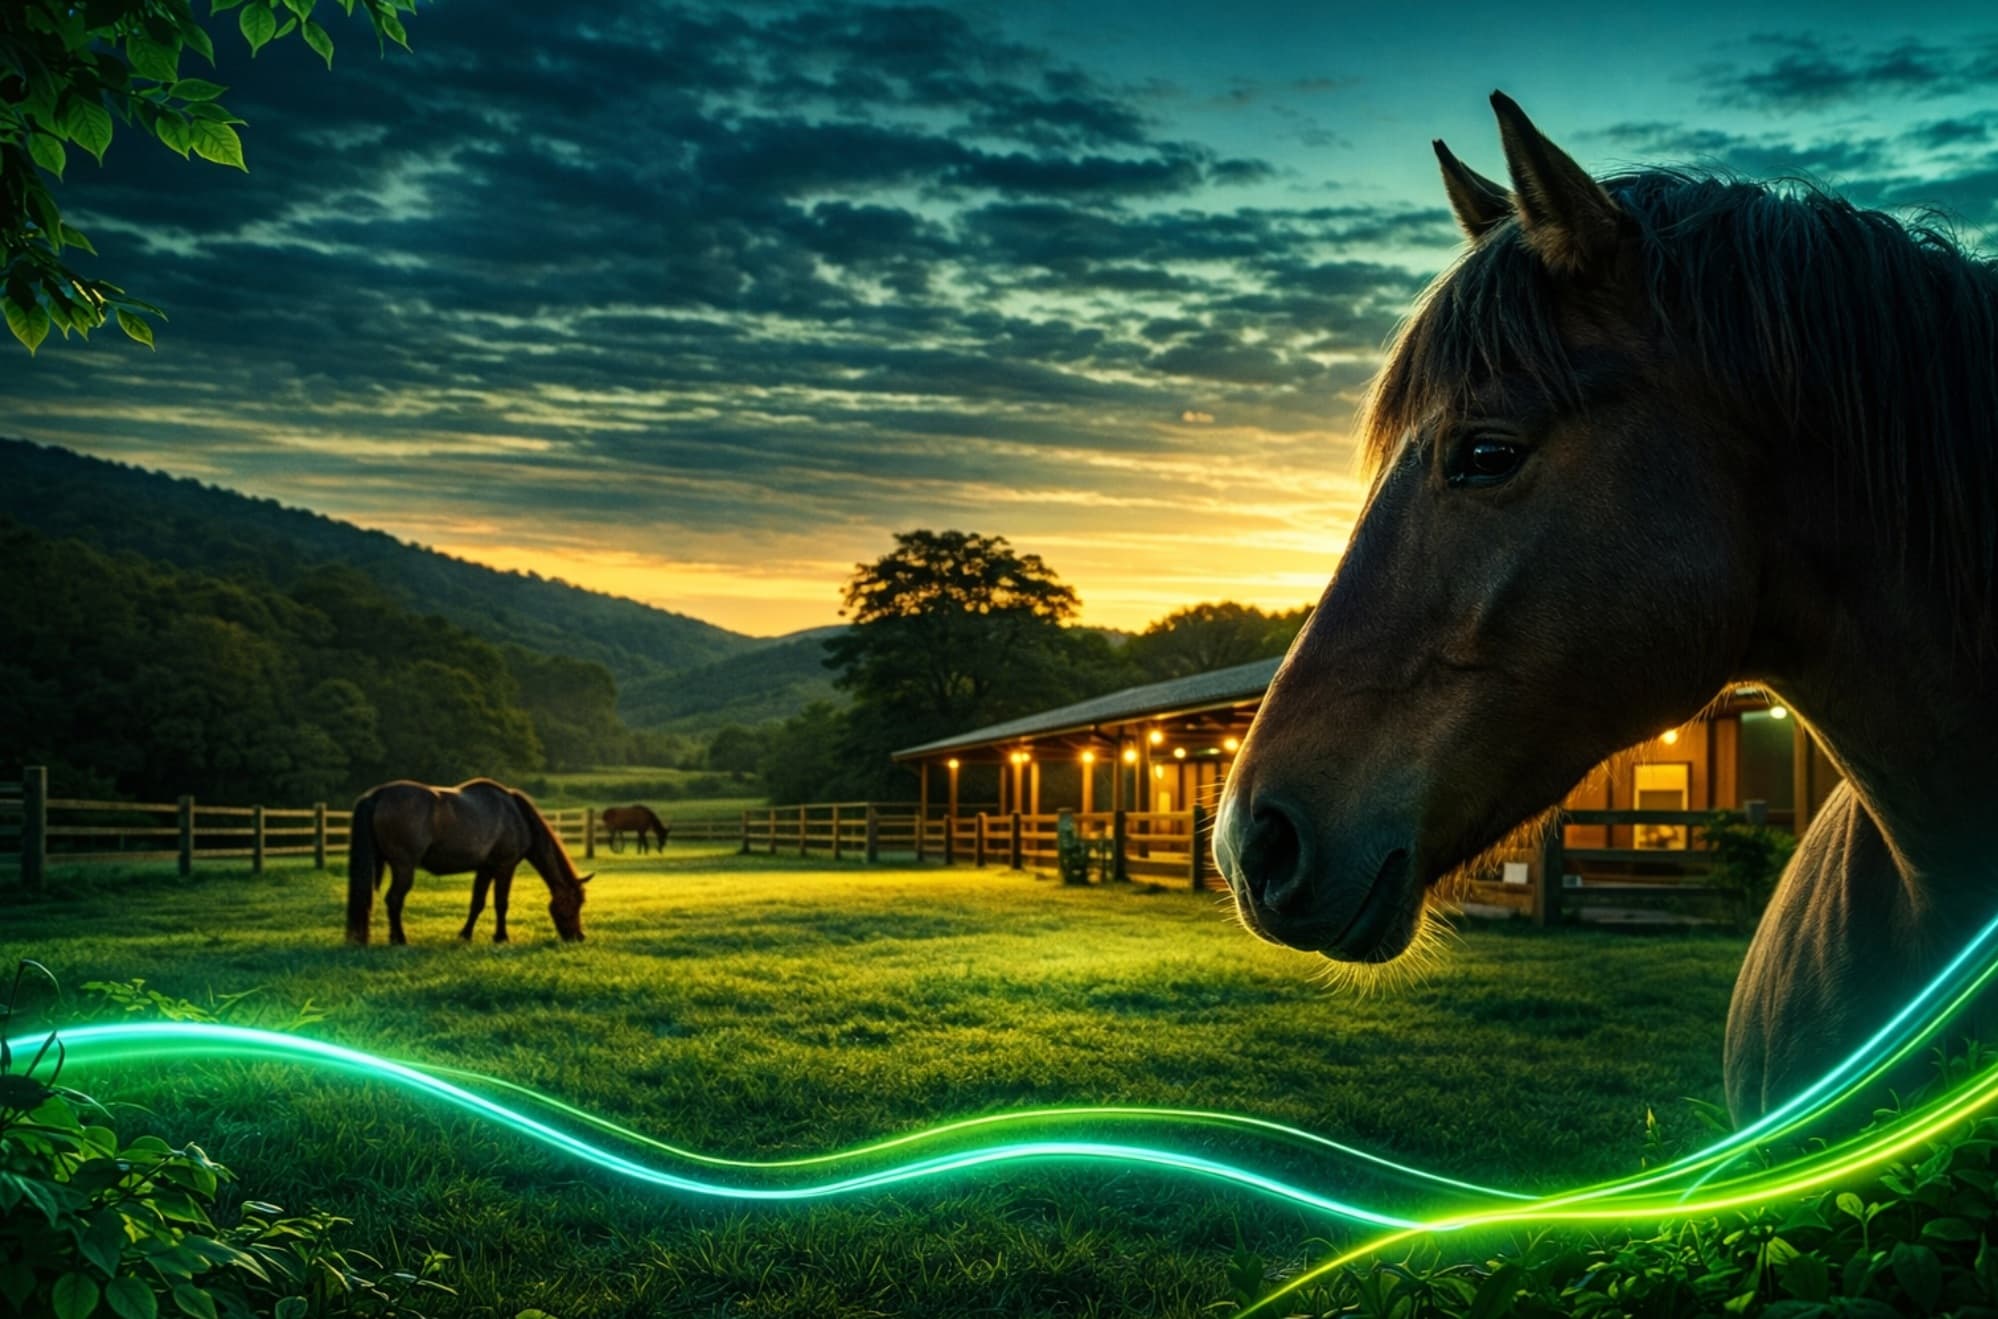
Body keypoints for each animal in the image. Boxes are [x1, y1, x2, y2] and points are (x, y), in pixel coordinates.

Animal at [346, 778, 591, 945]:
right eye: (573, 904)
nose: (578, 937)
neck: (517, 815)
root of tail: (378, 795)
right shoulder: (505, 866)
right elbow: (501, 903)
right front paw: (501, 937)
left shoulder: (486, 868)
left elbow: (477, 903)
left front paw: (465, 934)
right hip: (404, 867)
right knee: (394, 900)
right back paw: (400, 939)